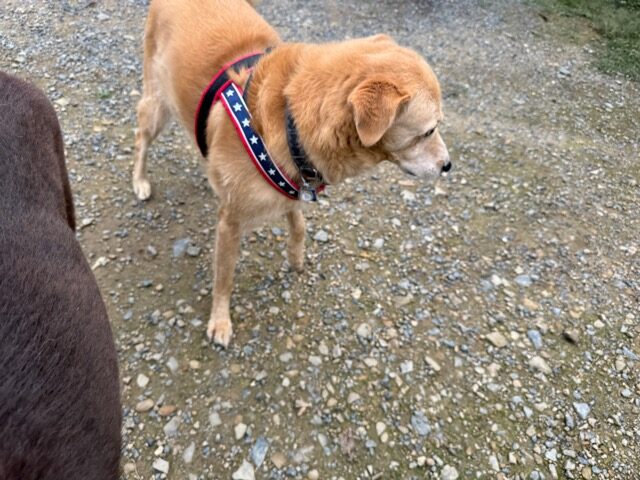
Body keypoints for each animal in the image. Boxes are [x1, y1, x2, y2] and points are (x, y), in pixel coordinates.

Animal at [132, 0, 451, 347]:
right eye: (428, 131)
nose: (448, 165)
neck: (291, 119)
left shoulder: (291, 185)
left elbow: (298, 225)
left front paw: (296, 258)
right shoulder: (231, 222)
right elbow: (224, 277)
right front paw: (219, 321)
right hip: (157, 106)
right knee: (141, 140)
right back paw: (140, 181)